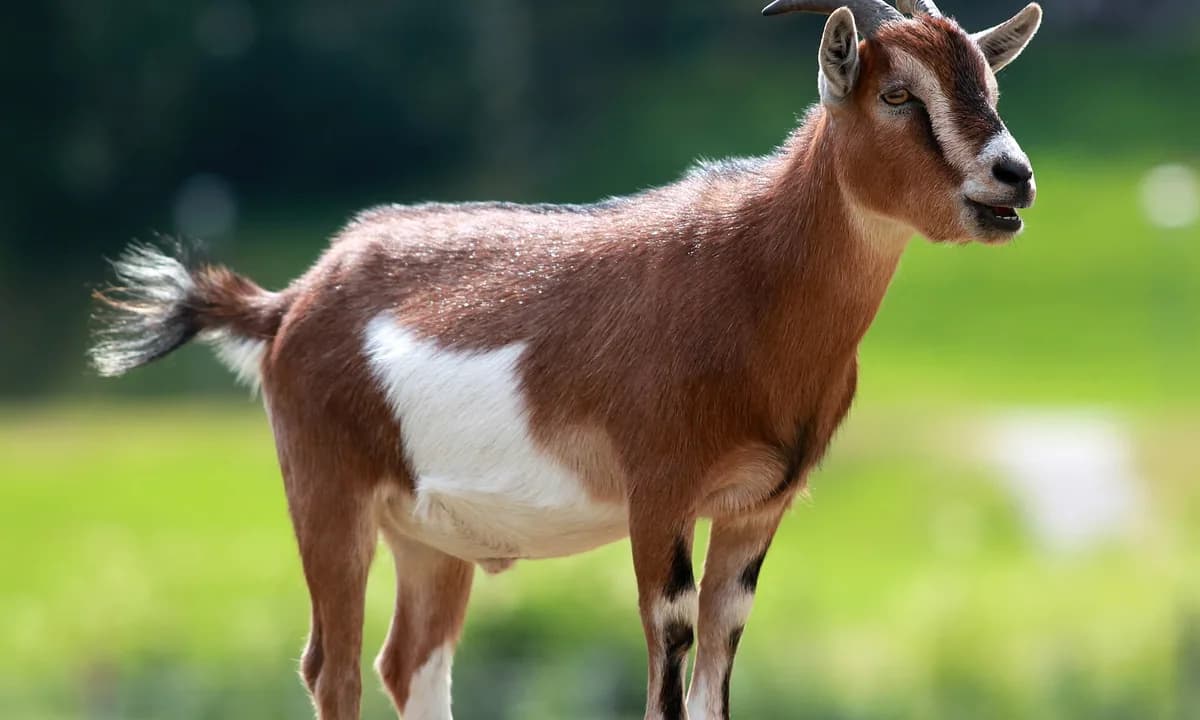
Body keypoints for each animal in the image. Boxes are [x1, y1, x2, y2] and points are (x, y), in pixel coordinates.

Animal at [89, 1, 1043, 718]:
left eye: (990, 85)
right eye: (897, 94)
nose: (1014, 177)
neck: (748, 277)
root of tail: (289, 303)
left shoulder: (758, 506)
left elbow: (719, 662)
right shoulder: (659, 492)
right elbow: (669, 648)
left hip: (427, 533)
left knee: (411, 659)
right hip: (327, 489)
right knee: (336, 665)